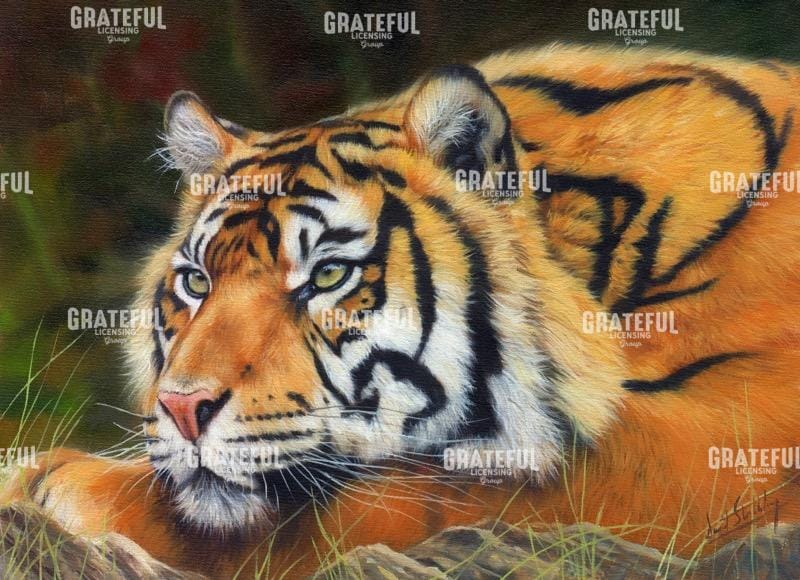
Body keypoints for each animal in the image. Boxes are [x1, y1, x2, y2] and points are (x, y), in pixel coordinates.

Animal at [4, 43, 800, 578]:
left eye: (328, 274)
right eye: (198, 282)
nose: (179, 408)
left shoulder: (704, 448)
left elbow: (379, 501)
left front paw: (61, 482)